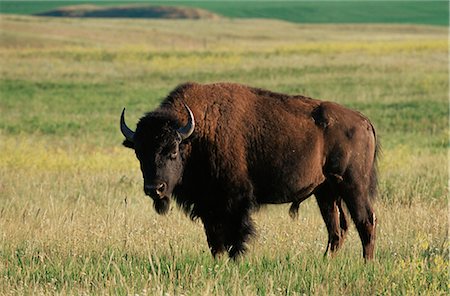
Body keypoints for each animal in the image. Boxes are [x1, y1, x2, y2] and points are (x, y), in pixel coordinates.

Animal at [120, 81, 380, 260]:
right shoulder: (208, 205)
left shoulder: (234, 201)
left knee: (365, 221)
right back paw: (326, 261)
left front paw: (235, 260)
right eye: (139, 153)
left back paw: (366, 262)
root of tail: (364, 121)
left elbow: (235, 235)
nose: (154, 188)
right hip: (325, 192)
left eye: (173, 151)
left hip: (353, 186)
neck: (197, 136)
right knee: (336, 229)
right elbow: (214, 238)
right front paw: (218, 261)